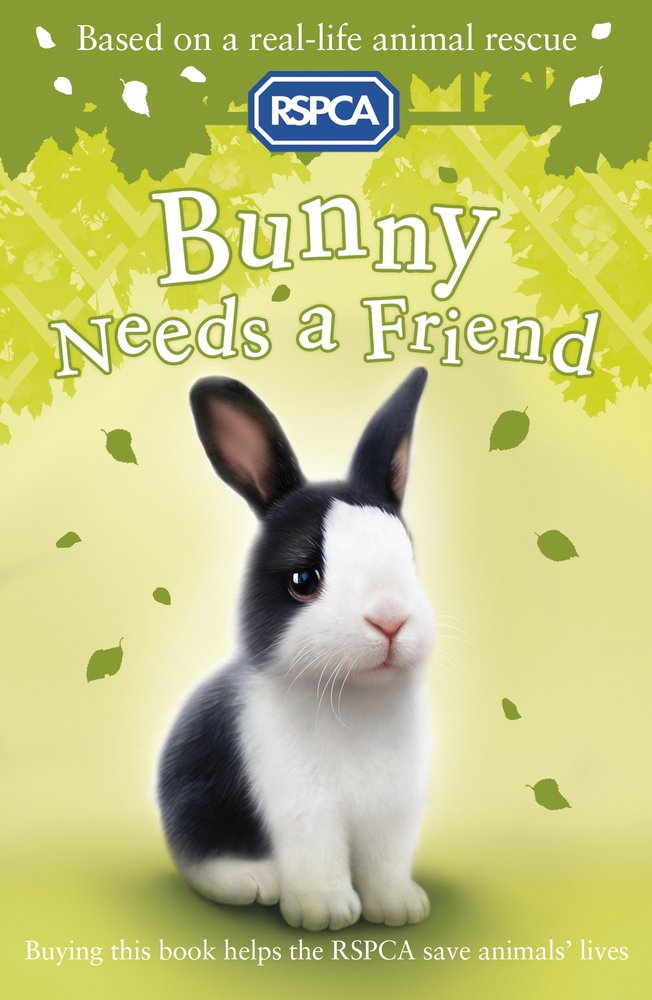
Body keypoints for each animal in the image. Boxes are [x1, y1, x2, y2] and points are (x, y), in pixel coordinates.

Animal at [158, 368, 435, 931]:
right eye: (304, 580)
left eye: (410, 561)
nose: (390, 620)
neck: (357, 699)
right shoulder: (303, 808)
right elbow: (317, 857)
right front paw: (324, 912)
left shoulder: (392, 813)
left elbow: (385, 863)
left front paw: (399, 908)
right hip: (198, 809)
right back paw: (252, 882)